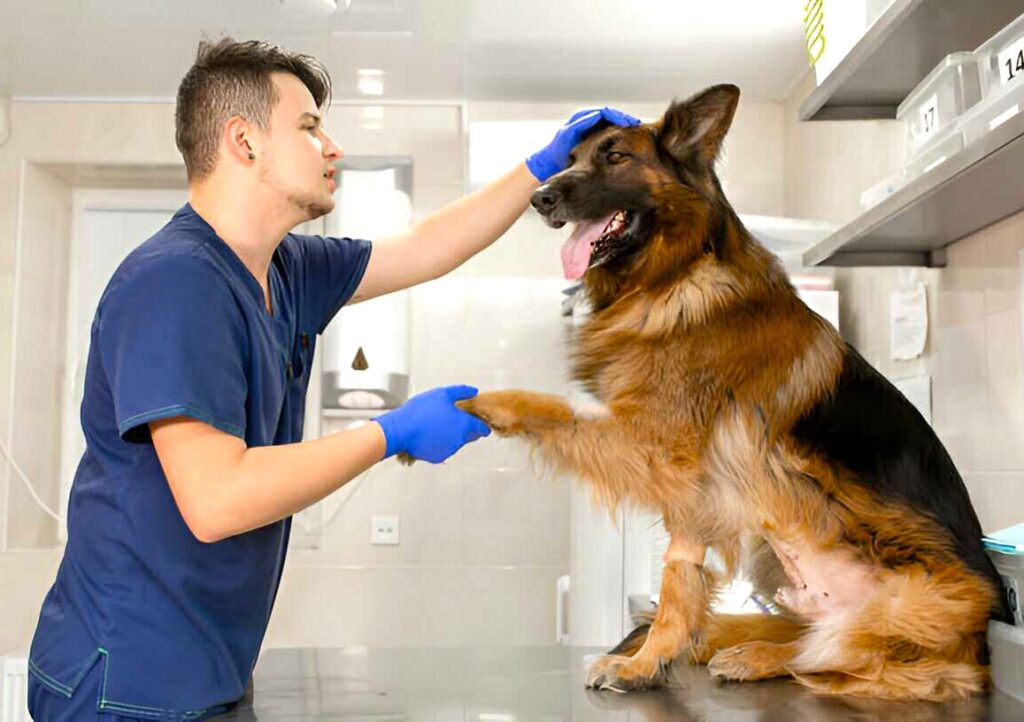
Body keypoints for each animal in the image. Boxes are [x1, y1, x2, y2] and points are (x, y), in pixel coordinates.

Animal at [456, 82, 1007, 696]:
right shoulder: (691, 488)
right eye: (568, 158)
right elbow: (679, 580)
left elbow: (554, 408)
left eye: (616, 156)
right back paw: (748, 650)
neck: (671, 279)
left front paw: (474, 403)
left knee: (837, 654)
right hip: (771, 555)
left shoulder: (656, 446)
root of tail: (981, 647)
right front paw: (646, 661)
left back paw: (761, 656)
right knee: (808, 637)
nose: (539, 197)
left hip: (907, 606)